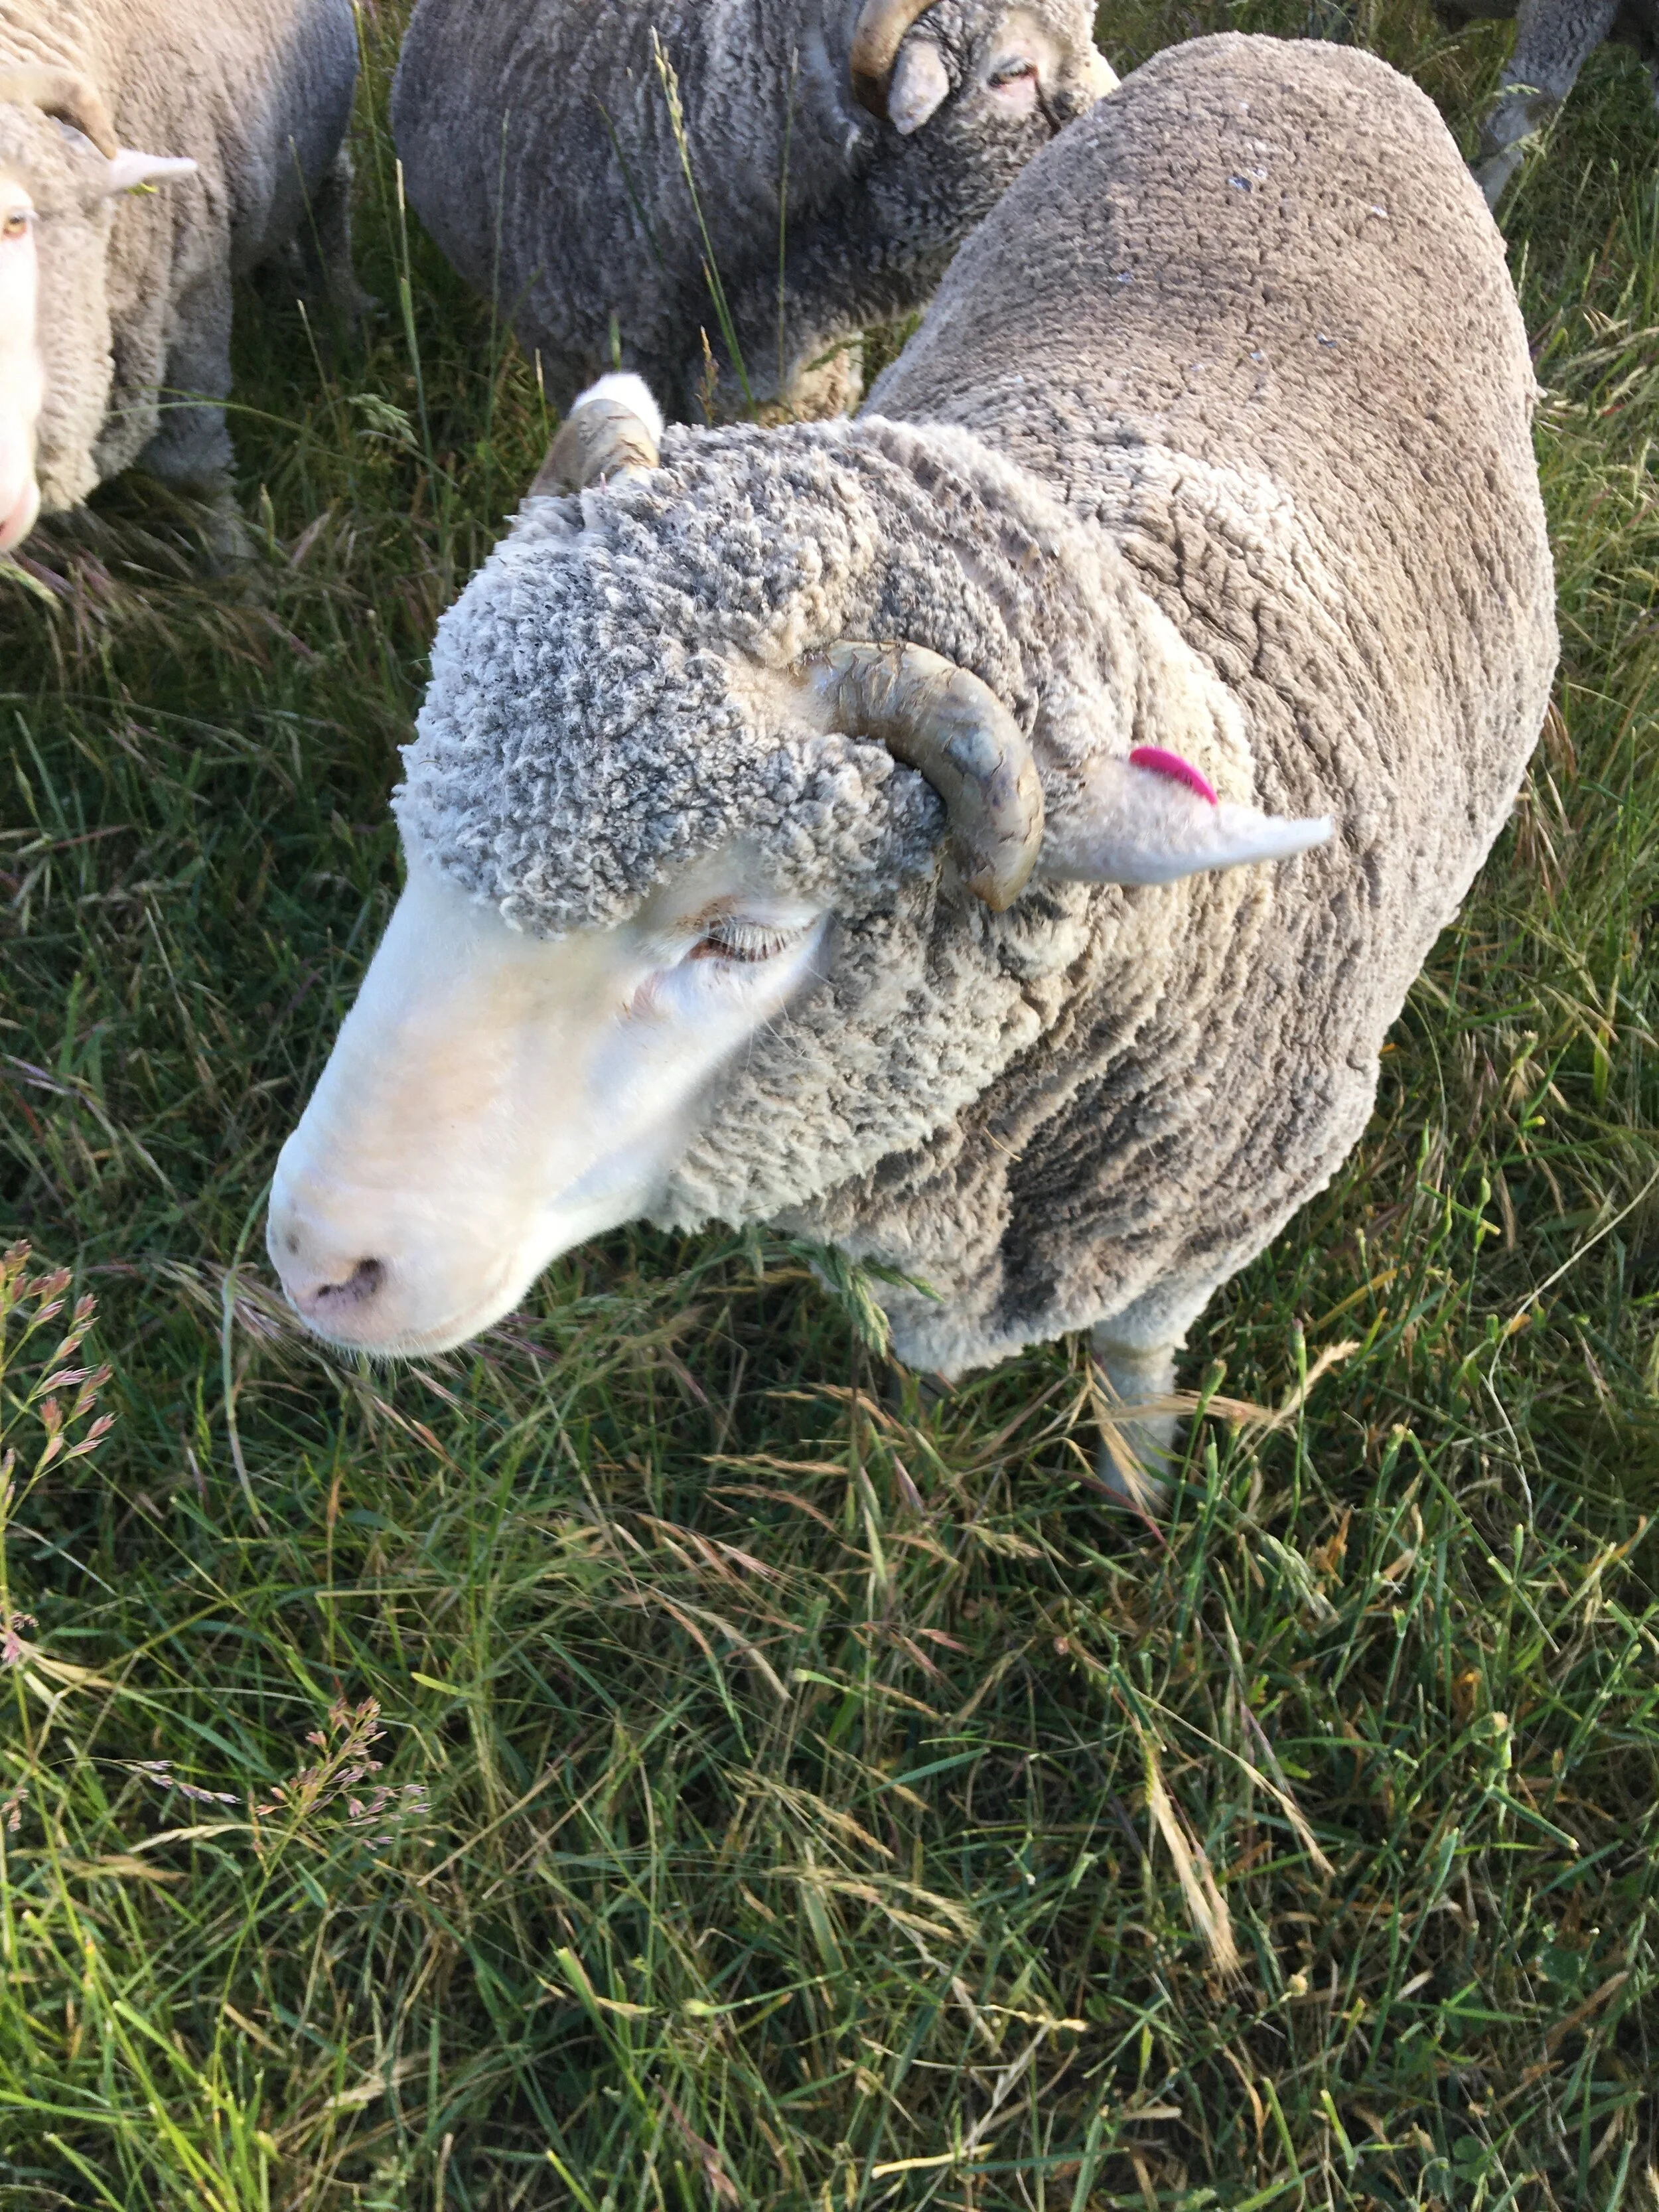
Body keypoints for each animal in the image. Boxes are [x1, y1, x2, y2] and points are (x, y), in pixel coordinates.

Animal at [0, 0, 362, 552]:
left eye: (16, 220)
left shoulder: (193, 295)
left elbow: (190, 469)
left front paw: (234, 560)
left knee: (330, 205)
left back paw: (342, 314)